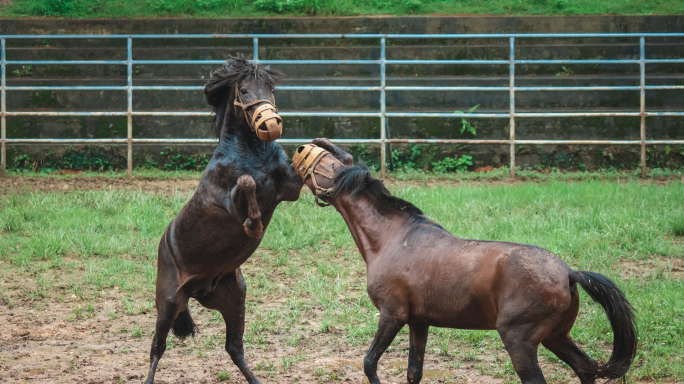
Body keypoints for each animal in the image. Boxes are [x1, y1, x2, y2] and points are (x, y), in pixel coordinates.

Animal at [143, 54, 304, 384]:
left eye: (271, 89)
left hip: (234, 298)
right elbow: (246, 182)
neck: (252, 153)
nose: (271, 125)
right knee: (157, 348)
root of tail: (198, 290)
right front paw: (253, 227)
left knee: (234, 348)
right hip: (168, 302)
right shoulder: (228, 201)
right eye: (243, 90)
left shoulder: (290, 188)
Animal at [292, 140, 636, 384]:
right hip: (556, 336)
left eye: (330, 164)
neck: (393, 239)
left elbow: (369, 364)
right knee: (586, 369)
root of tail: (568, 273)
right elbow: (413, 372)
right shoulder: (419, 321)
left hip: (520, 342)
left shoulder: (392, 315)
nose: (298, 149)